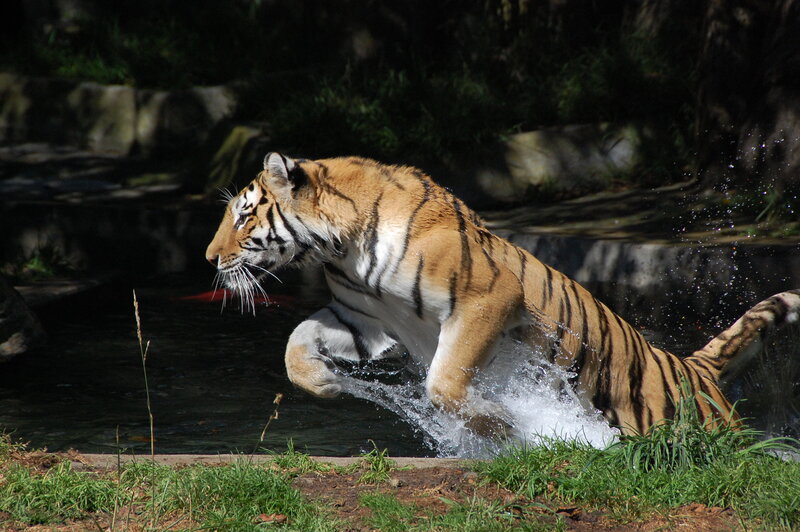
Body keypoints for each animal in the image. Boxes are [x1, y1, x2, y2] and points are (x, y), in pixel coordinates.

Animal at [206, 152, 800, 437]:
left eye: (244, 214)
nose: (210, 259)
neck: (341, 249)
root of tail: (695, 368)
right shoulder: (363, 318)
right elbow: (295, 342)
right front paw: (325, 383)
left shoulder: (487, 299)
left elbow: (444, 384)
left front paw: (508, 427)